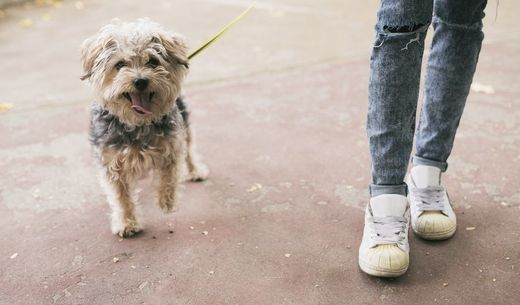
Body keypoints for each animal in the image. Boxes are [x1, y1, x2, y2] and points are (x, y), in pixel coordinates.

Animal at [80, 19, 208, 238]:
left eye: (153, 61)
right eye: (120, 65)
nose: (140, 81)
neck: (137, 124)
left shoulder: (172, 145)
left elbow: (169, 175)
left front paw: (167, 202)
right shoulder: (112, 163)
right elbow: (121, 196)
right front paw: (127, 223)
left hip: (185, 125)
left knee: (190, 150)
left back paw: (195, 171)